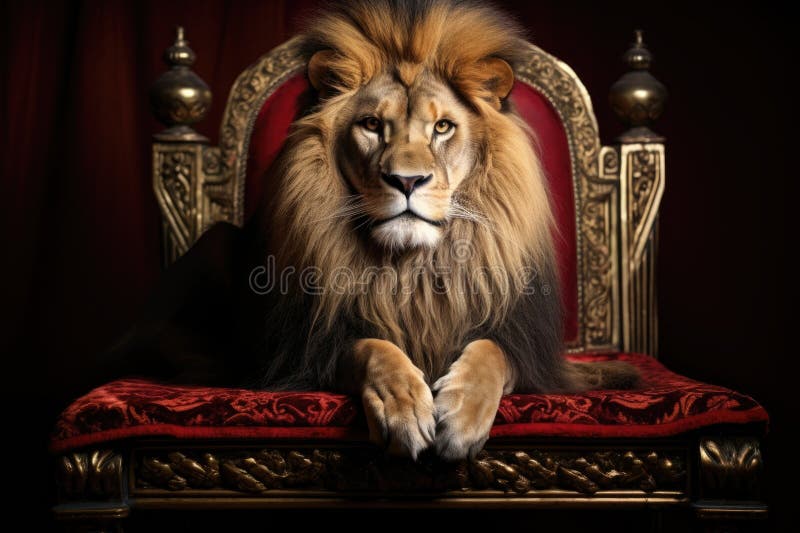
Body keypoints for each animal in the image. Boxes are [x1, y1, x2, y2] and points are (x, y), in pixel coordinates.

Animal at [108, 0, 638, 462]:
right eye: (371, 125)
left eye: (442, 127)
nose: (407, 180)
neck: (413, 268)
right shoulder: (306, 351)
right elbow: (372, 348)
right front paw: (405, 407)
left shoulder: (525, 347)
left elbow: (491, 352)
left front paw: (461, 416)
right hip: (214, 239)